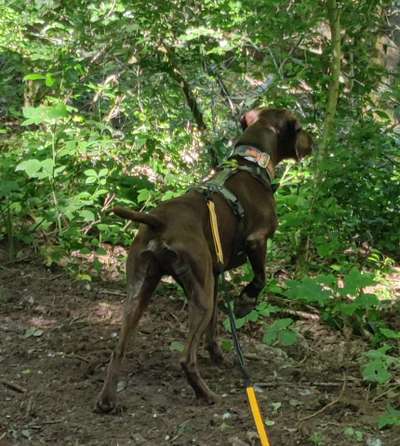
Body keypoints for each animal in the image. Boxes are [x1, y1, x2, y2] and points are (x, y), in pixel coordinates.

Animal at [97, 108, 312, 412]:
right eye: (300, 128)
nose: (312, 141)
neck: (250, 163)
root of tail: (158, 222)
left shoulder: (216, 274)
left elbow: (214, 326)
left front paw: (217, 353)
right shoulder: (257, 241)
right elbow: (260, 278)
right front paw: (246, 302)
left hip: (142, 289)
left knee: (119, 348)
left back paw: (107, 399)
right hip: (200, 295)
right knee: (186, 358)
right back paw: (205, 394)